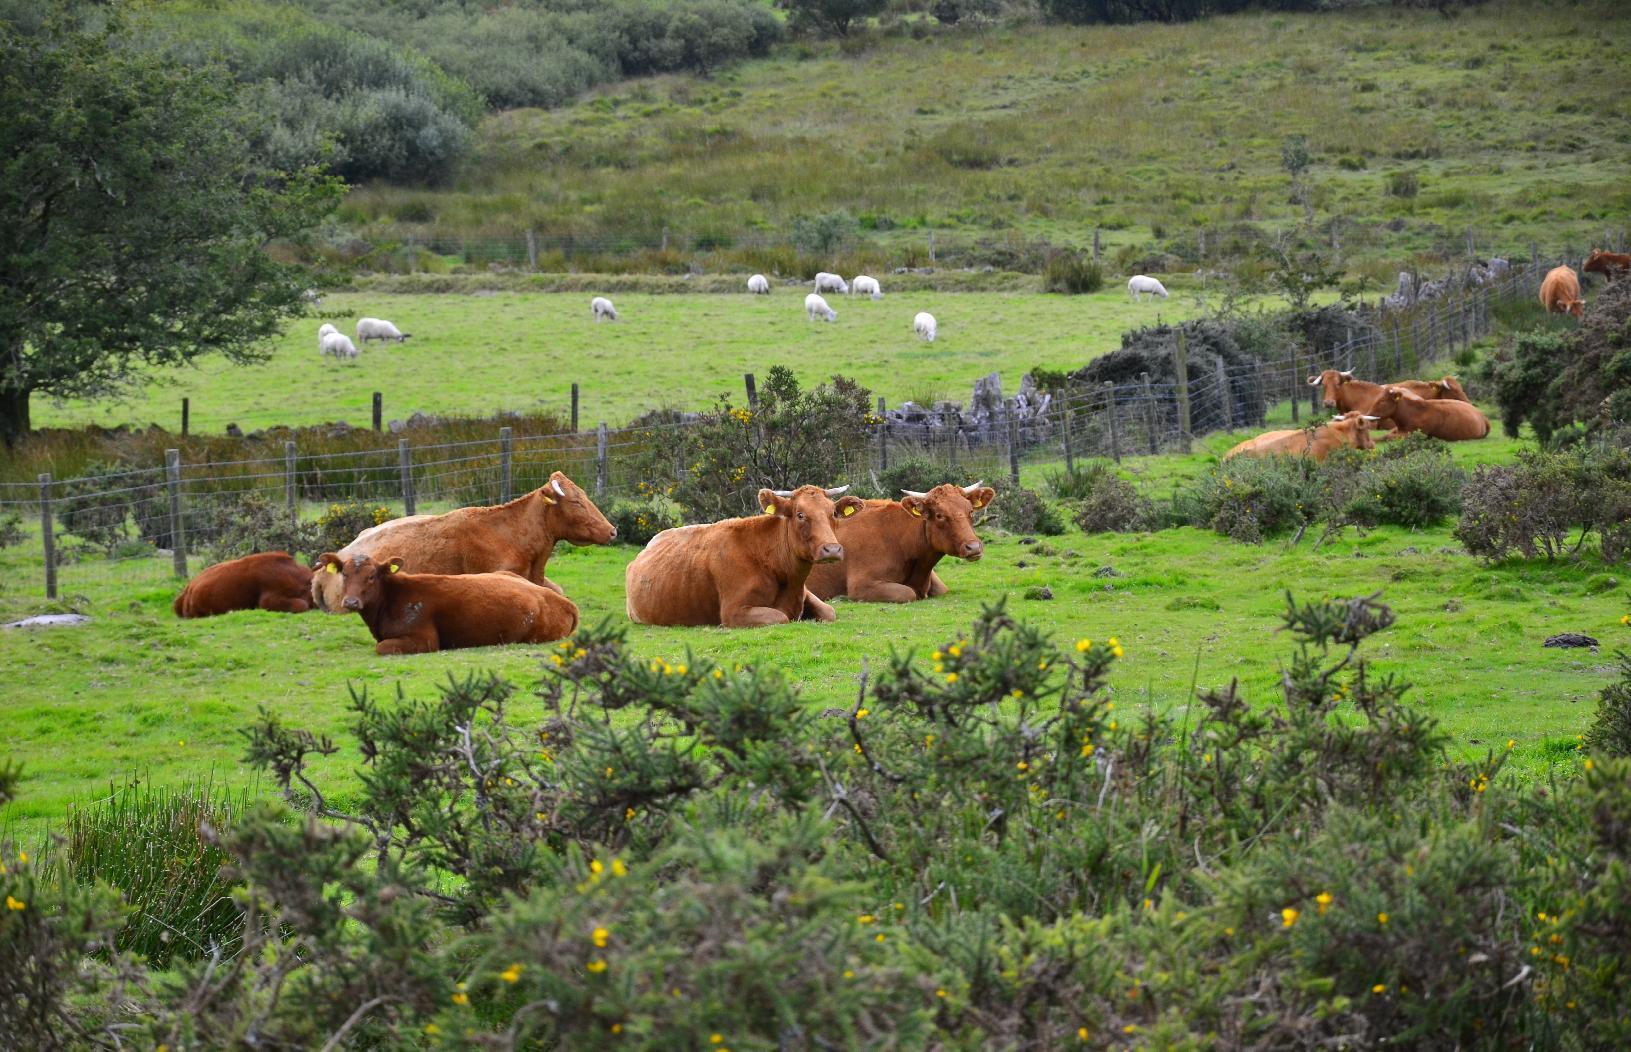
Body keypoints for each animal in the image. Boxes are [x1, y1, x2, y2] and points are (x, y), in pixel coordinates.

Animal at [314, 551, 577, 655]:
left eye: (371, 576)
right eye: (344, 574)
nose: (351, 601)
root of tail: (560, 600)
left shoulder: (424, 640)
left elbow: (381, 647)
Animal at [623, 482, 867, 623]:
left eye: (832, 513)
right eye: (800, 514)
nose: (832, 549)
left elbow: (829, 612)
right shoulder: (734, 611)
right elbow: (780, 617)